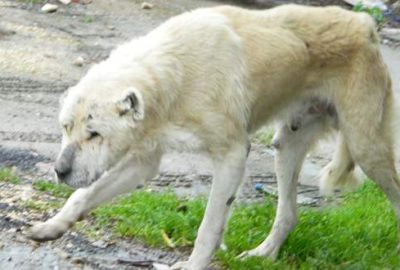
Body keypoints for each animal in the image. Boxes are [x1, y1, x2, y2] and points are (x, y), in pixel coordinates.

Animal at [27, 4, 396, 270]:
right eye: (65, 128)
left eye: (94, 134)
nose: (59, 172)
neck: (173, 72)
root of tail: (365, 23)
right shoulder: (142, 163)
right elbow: (82, 196)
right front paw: (53, 226)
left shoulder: (232, 155)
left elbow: (209, 226)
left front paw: (193, 265)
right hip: (287, 147)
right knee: (289, 214)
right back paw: (263, 254)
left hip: (368, 150)